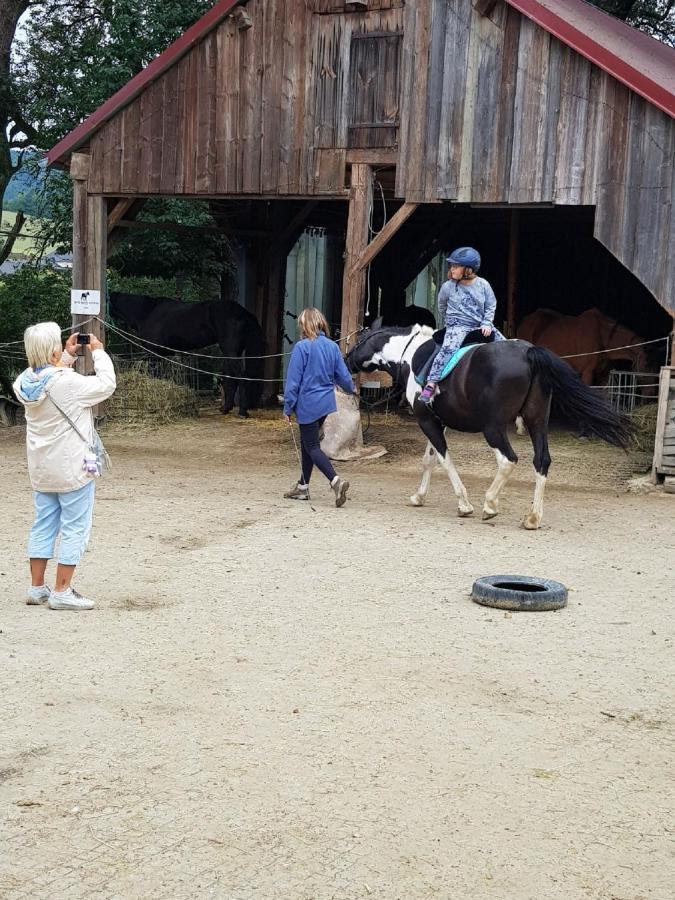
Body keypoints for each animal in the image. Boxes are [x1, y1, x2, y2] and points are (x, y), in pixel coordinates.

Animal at [348, 324, 632, 528]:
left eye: (358, 340)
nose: (346, 357)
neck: (411, 354)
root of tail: (528, 353)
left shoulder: (427, 421)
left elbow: (444, 460)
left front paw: (464, 504)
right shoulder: (436, 421)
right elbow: (429, 459)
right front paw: (419, 497)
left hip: (493, 429)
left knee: (508, 460)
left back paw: (490, 504)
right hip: (537, 422)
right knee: (541, 461)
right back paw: (532, 518)